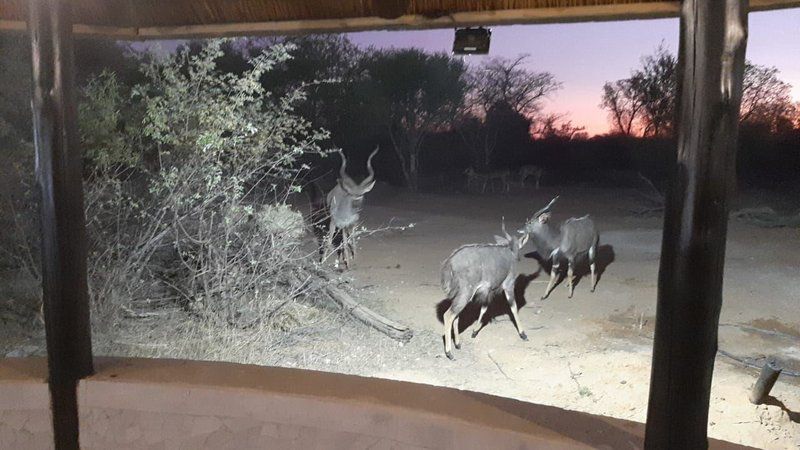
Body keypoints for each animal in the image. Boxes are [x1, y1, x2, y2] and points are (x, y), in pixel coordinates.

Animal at [438, 218, 532, 358]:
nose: (518, 257)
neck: (509, 251)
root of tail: (450, 262)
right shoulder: (508, 285)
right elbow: (513, 308)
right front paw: (523, 334)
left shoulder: (488, 291)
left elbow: (484, 309)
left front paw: (474, 332)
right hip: (466, 293)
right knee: (448, 315)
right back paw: (449, 352)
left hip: (461, 295)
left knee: (456, 315)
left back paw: (458, 344)